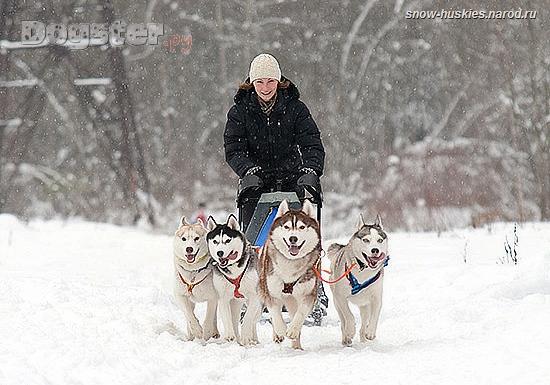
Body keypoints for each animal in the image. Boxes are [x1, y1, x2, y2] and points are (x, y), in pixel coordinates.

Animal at [209, 214, 266, 344]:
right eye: (215, 241)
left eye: (227, 240)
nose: (220, 253)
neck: (234, 271)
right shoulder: (223, 298)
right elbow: (227, 319)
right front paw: (230, 336)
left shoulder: (254, 297)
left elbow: (248, 318)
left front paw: (246, 337)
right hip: (235, 302)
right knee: (234, 319)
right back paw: (237, 338)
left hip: (258, 304)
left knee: (253, 321)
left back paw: (252, 339)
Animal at [260, 200, 324, 350]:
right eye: (287, 226)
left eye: (301, 227)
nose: (293, 238)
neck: (291, 263)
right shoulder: (271, 293)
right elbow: (275, 313)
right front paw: (281, 330)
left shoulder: (309, 294)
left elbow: (300, 313)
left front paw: (293, 330)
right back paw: (278, 335)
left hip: (293, 300)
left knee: (295, 313)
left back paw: (297, 346)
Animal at [330, 213, 390, 344]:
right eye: (366, 240)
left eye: (379, 240)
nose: (375, 250)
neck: (363, 271)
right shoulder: (340, 297)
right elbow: (349, 316)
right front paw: (350, 330)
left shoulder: (376, 297)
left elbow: (375, 316)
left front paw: (370, 332)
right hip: (336, 303)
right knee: (343, 321)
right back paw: (346, 338)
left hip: (364, 306)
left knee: (364, 323)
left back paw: (364, 339)